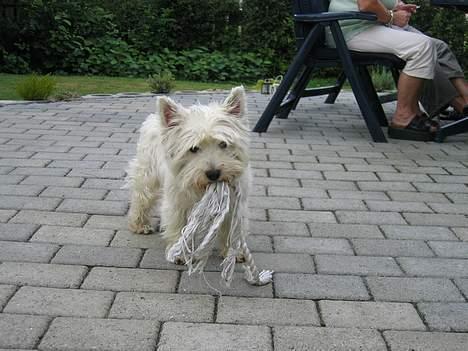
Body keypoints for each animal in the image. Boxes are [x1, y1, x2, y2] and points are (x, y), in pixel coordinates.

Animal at [124, 87, 249, 262]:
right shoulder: (177, 200)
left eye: (223, 144)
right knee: (141, 197)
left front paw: (233, 252)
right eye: (193, 148)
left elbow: (232, 229)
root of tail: (153, 118)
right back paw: (140, 224)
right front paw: (179, 253)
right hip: (148, 174)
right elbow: (178, 224)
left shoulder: (233, 203)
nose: (213, 173)